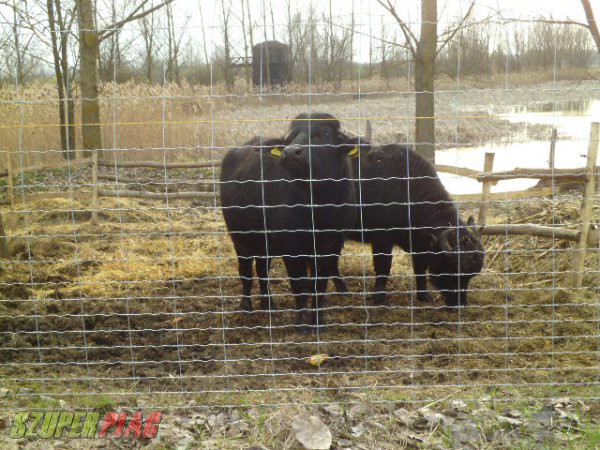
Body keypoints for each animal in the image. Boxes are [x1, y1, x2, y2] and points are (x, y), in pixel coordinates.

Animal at [220, 112, 360, 330]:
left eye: (326, 133)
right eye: (292, 136)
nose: (291, 152)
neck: (318, 208)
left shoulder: (332, 247)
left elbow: (319, 285)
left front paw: (318, 320)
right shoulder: (291, 249)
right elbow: (299, 284)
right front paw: (301, 323)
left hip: (264, 242)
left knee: (262, 269)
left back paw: (268, 304)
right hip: (239, 237)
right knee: (245, 271)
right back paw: (246, 306)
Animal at [344, 142, 486, 306]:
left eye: (470, 276)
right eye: (451, 269)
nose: (460, 303)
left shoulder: (421, 245)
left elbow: (420, 269)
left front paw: (423, 295)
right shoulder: (382, 239)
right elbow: (383, 267)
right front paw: (378, 297)